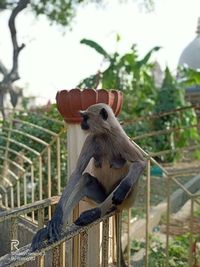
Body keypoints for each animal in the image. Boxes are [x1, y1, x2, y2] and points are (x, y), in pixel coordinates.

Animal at [32, 102, 146, 251]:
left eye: (85, 117)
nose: (82, 123)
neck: (104, 134)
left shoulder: (121, 139)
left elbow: (141, 163)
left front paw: (123, 188)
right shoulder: (91, 139)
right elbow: (78, 172)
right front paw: (57, 216)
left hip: (126, 201)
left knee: (127, 183)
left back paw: (96, 212)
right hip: (100, 196)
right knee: (86, 179)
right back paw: (52, 229)